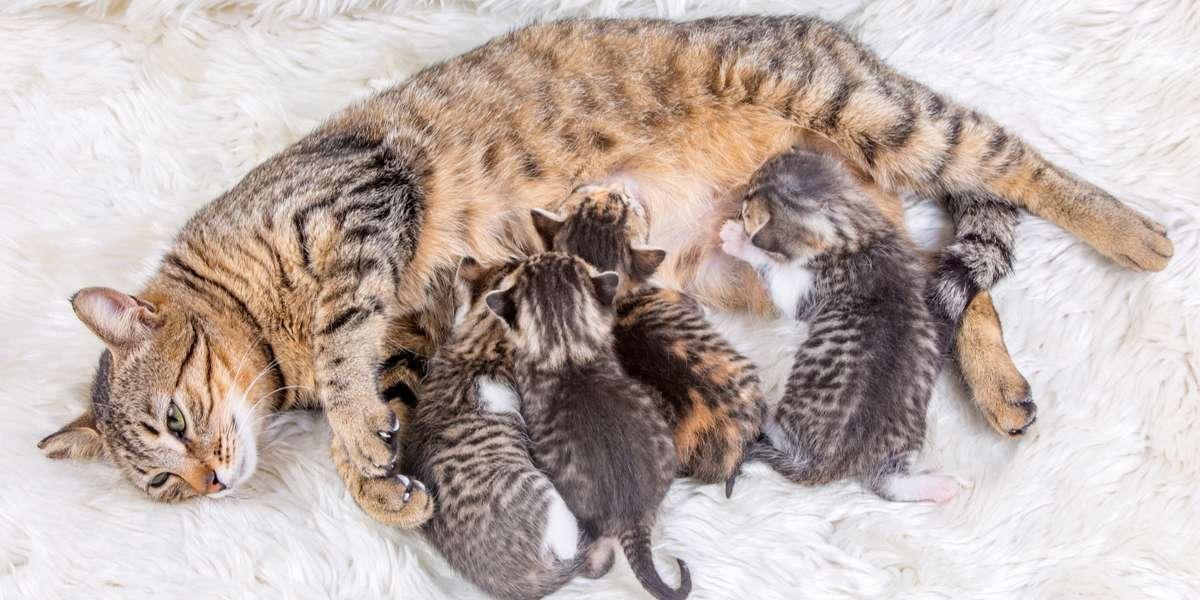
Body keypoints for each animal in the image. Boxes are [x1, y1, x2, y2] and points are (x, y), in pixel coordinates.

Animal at [715, 148, 960, 501]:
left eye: (747, 210)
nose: (737, 202)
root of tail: (831, 466)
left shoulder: (807, 293)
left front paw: (738, 242)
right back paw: (938, 487)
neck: (859, 234)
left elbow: (778, 276)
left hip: (793, 419)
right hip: (906, 440)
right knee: (888, 484)